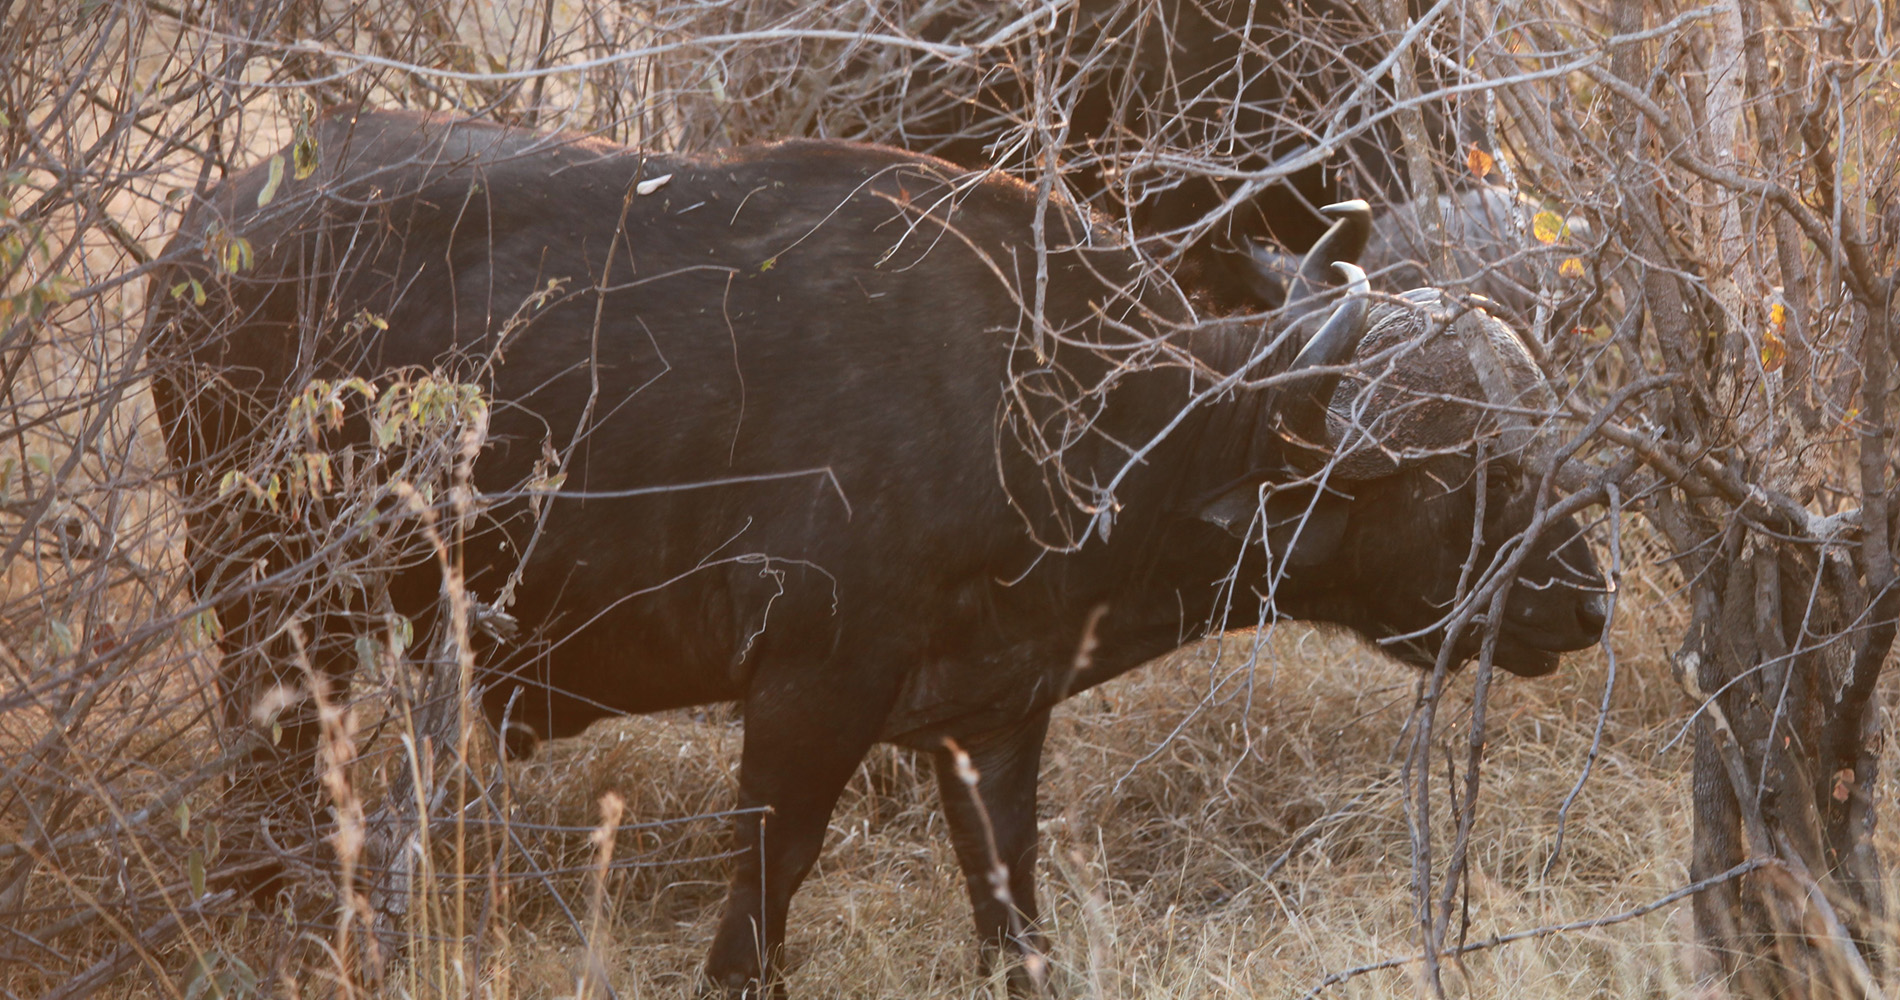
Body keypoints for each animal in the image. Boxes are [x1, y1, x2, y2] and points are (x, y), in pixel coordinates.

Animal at [148, 107, 1603, 996]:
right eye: (1475, 471)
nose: (1588, 599)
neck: (1063, 414)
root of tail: (210, 233)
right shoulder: (806, 701)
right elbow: (755, 918)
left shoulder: (989, 723)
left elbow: (1011, 920)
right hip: (271, 617)